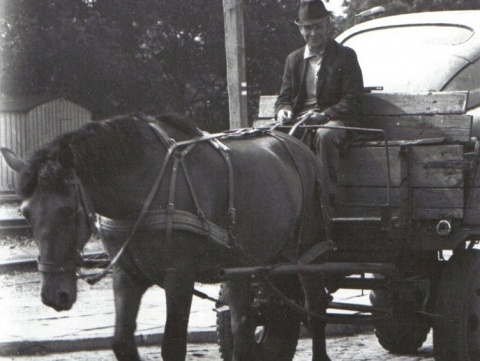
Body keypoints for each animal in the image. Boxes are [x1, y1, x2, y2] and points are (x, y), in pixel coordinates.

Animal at [1, 113, 332, 360]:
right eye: (25, 212)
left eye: (68, 210)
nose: (54, 295)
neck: (145, 188)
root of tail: (298, 145)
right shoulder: (127, 274)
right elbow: (121, 342)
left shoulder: (179, 277)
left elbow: (172, 346)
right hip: (250, 262)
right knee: (246, 322)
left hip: (310, 250)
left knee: (315, 308)